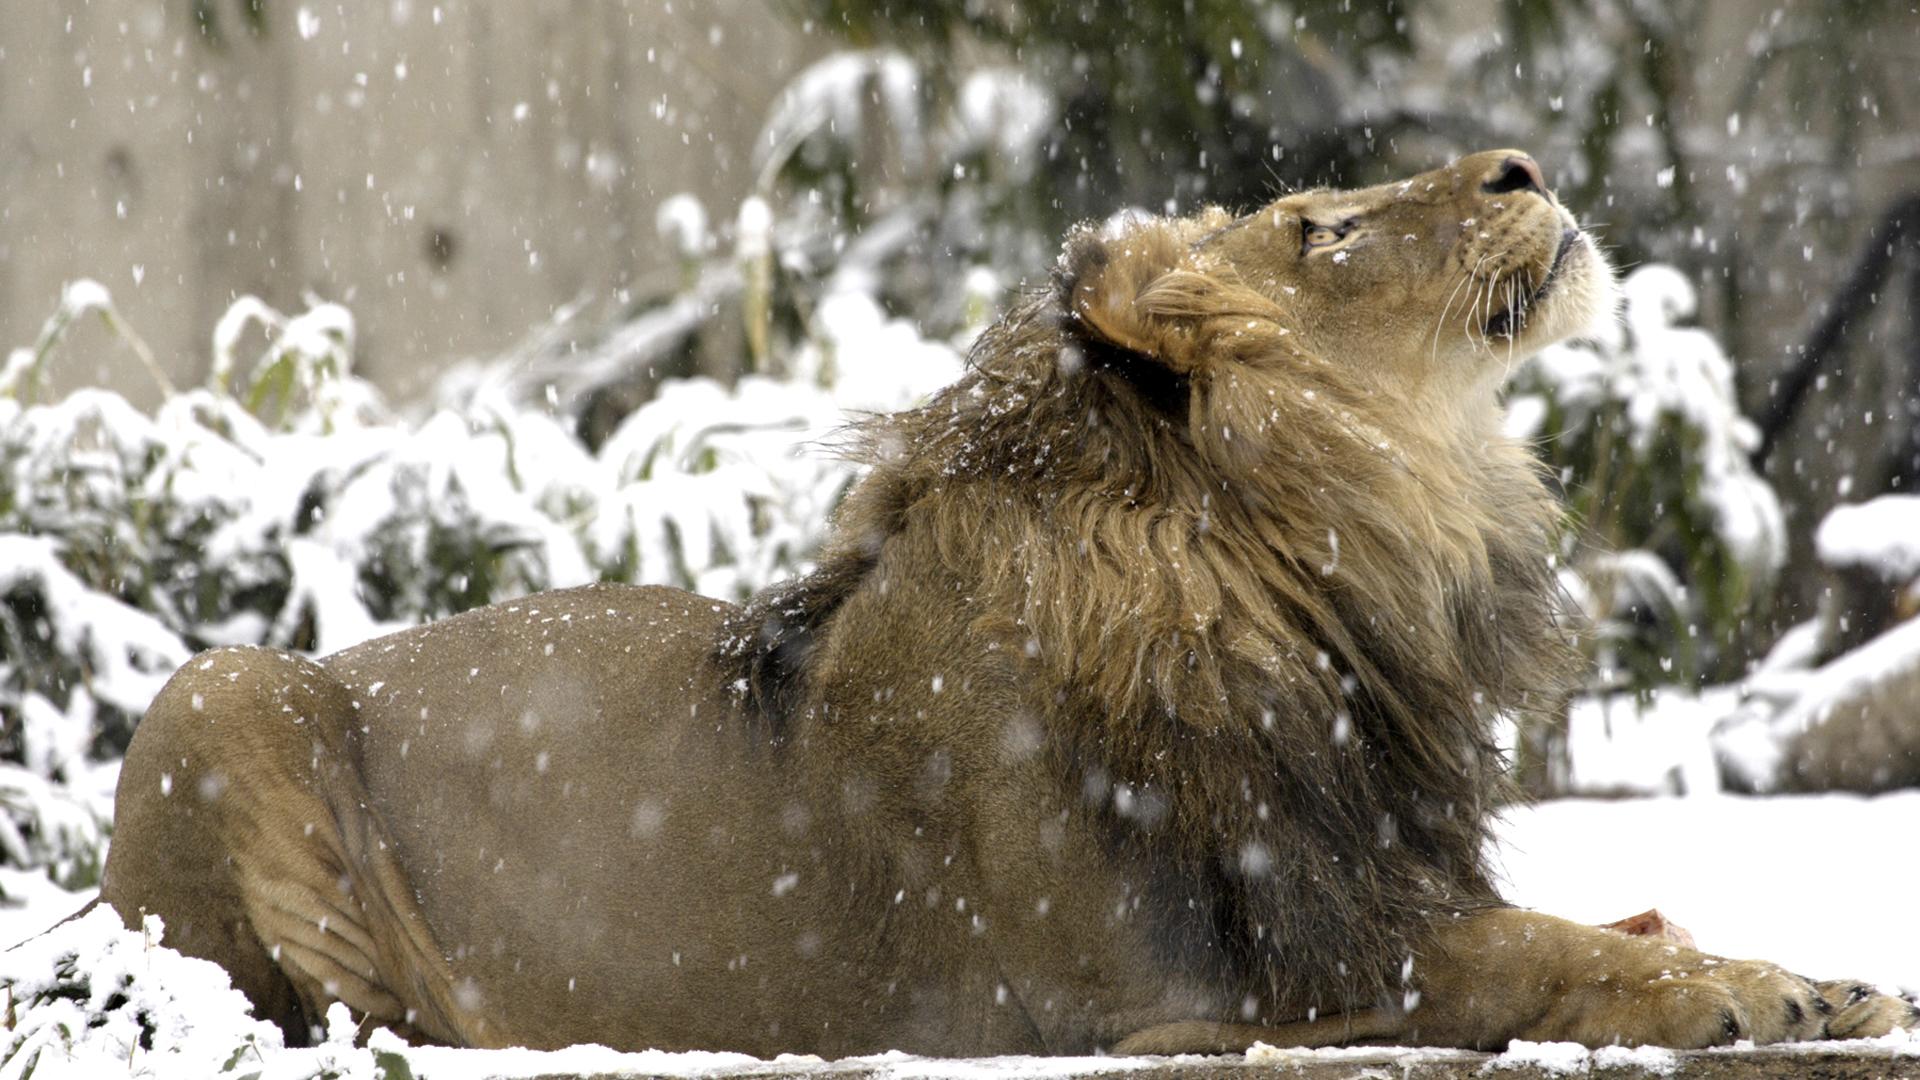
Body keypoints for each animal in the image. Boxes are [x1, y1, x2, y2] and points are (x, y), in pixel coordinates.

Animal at [93, 151, 1920, 1053]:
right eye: (1319, 228)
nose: (1525, 162)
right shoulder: (1195, 985)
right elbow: (1542, 961)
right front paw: (1764, 992)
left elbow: (1607, 924)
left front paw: (1802, 972)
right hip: (224, 691)